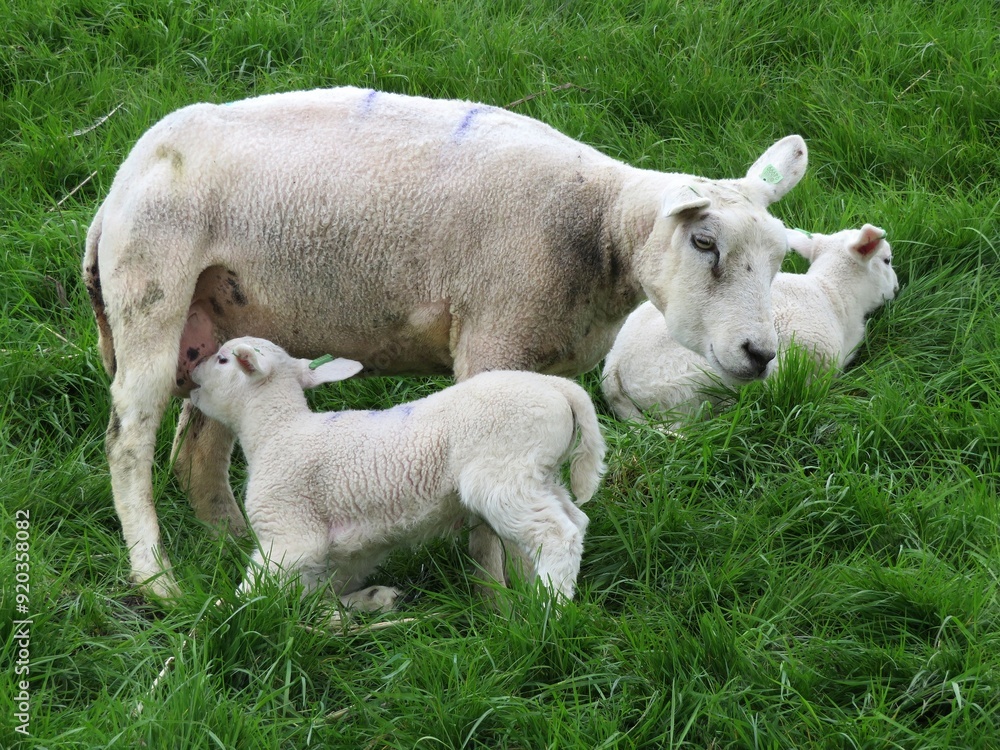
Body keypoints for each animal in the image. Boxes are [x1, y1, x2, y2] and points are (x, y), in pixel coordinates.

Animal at [186, 336, 606, 605]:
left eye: (222, 360)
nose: (191, 373)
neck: (277, 430)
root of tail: (559, 388)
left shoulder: (289, 533)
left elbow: (254, 592)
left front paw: (212, 621)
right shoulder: (343, 554)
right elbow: (316, 593)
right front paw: (368, 601)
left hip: (502, 472)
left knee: (556, 534)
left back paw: (550, 608)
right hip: (538, 472)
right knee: (575, 520)